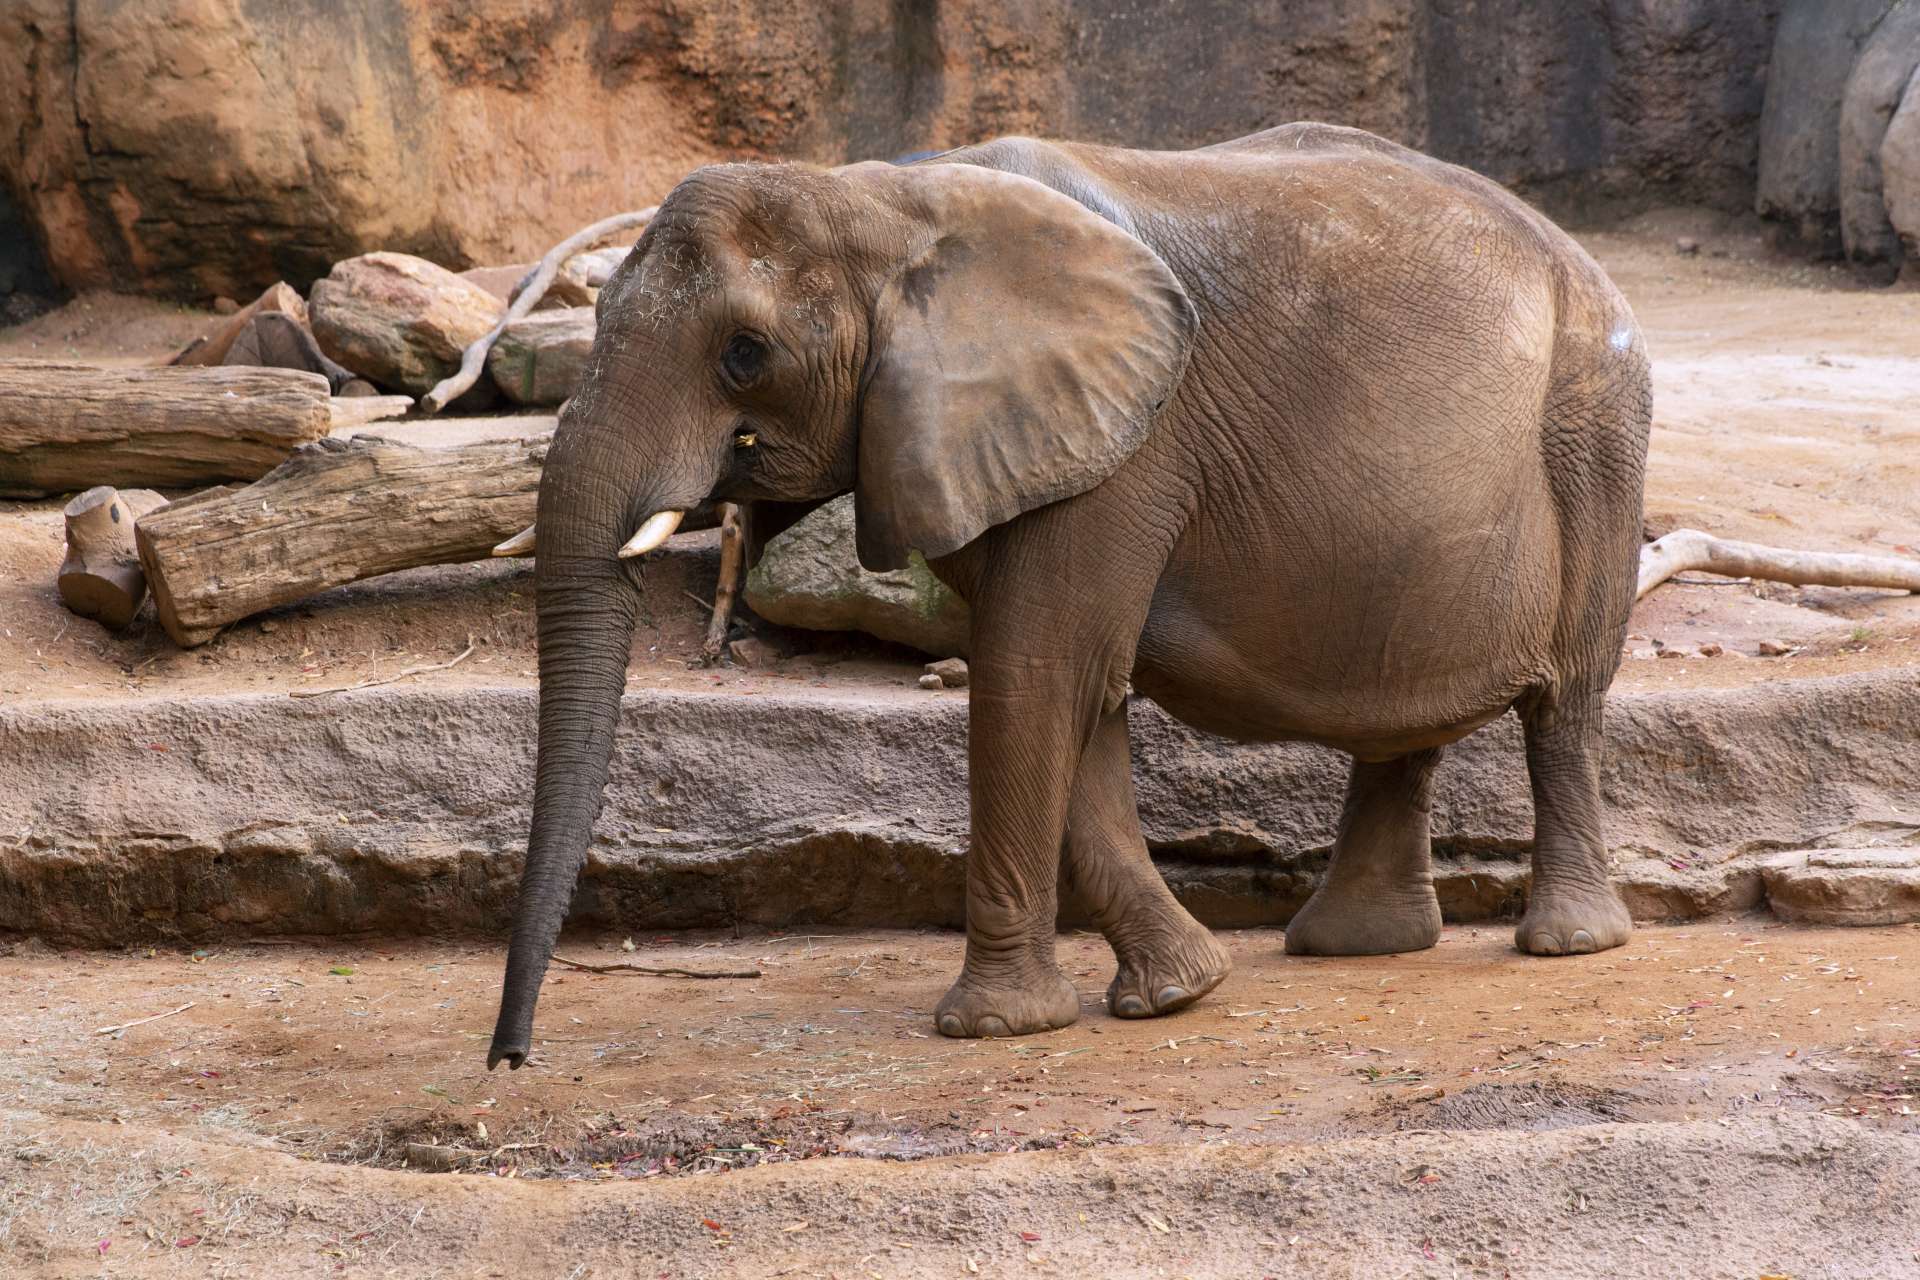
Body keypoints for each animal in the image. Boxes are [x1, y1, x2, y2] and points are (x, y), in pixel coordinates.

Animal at [491, 122, 1651, 1074]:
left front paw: (991, 1028)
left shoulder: (1127, 448)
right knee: (1401, 716)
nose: (512, 1058)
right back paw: (1350, 944)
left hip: (1592, 426)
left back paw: (1566, 941)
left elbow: (1036, 671)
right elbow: (1075, 689)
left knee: (1566, 701)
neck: (880, 196)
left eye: (745, 353)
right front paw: (1180, 992)